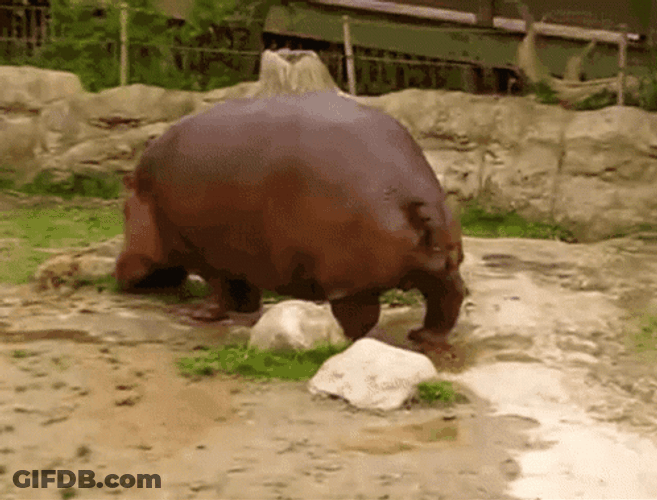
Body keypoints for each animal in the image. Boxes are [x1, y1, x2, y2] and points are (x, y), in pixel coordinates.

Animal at [114, 91, 465, 348]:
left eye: (123, 211)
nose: (118, 271)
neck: (149, 194)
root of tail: (416, 197)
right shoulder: (239, 251)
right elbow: (242, 287)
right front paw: (245, 309)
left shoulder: (202, 249)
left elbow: (218, 289)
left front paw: (196, 313)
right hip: (440, 265)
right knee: (448, 296)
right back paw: (423, 336)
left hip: (351, 281)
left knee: (362, 317)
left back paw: (337, 340)